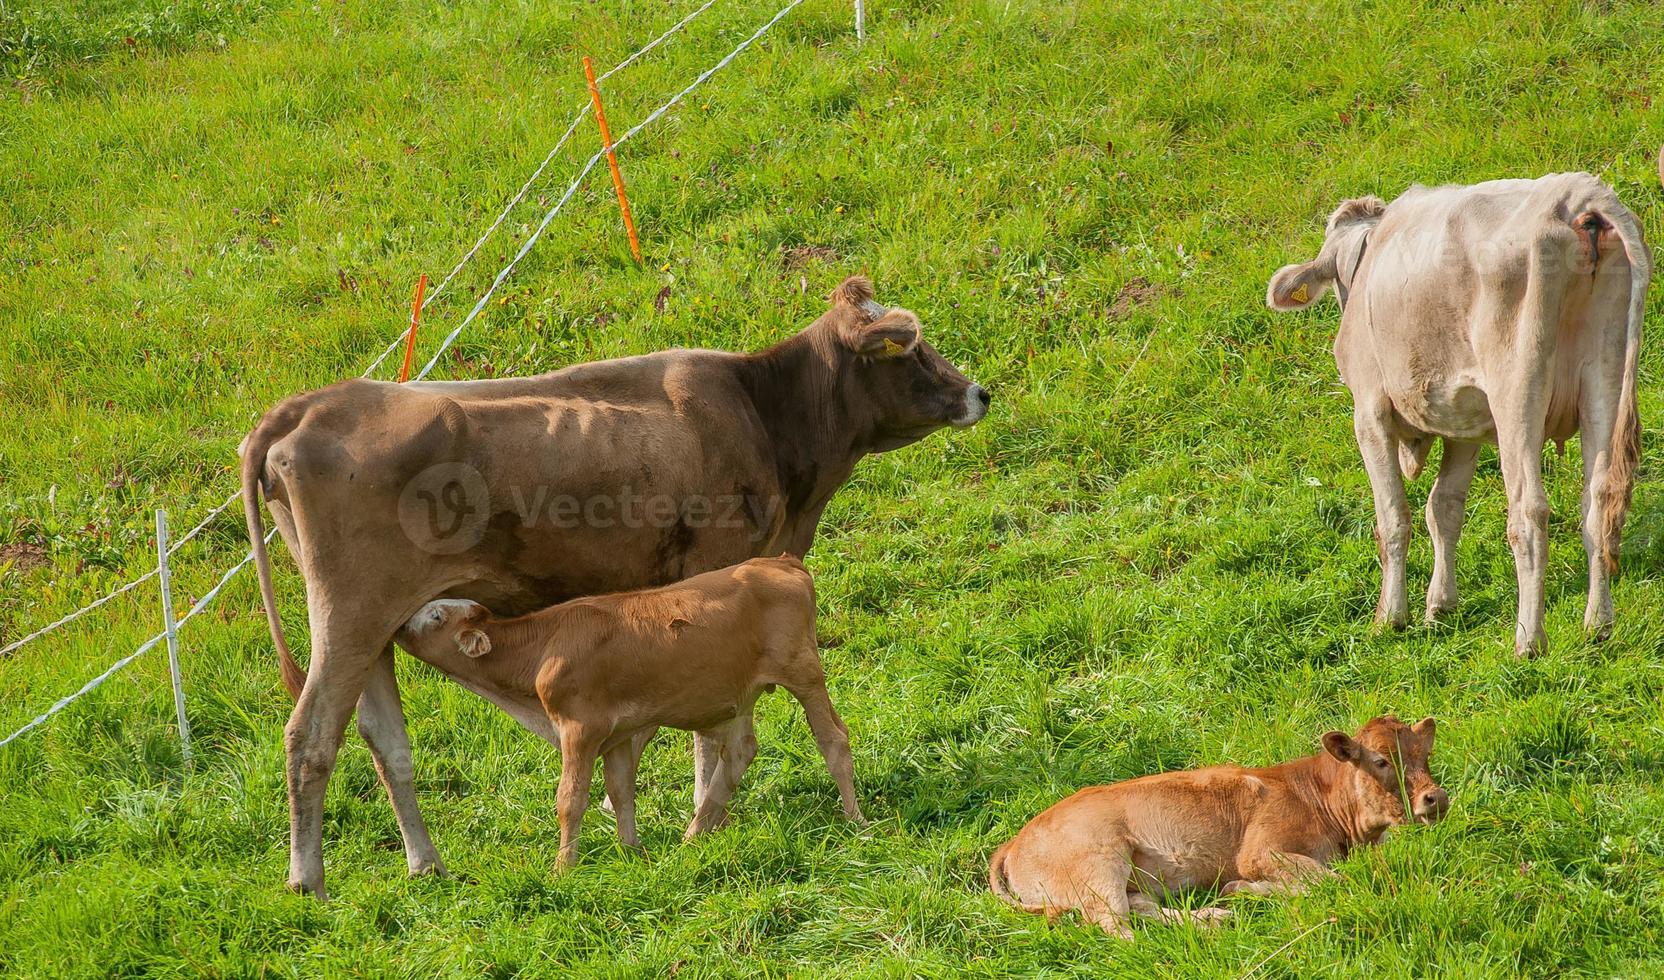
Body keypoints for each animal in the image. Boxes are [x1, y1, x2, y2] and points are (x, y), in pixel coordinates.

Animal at [396, 555, 865, 865]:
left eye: (435, 615)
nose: (399, 624)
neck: (543, 645)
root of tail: (780, 561)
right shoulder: (617, 734)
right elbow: (621, 790)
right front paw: (630, 849)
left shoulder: (580, 728)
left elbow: (570, 798)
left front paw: (563, 868)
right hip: (740, 693)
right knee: (739, 752)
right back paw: (693, 835)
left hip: (803, 671)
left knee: (833, 739)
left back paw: (854, 819)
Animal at [985, 715, 1444, 938]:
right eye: (1381, 760)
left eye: (1425, 754)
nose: (1435, 797)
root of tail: (1014, 841)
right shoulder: (1259, 852)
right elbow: (1331, 881)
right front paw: (1246, 889)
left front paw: (1239, 894)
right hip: (1098, 865)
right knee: (1114, 926)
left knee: (1141, 909)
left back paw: (1212, 918)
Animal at [1264, 172, 1644, 652]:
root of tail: (1578, 194)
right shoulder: (1465, 423)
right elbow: (1442, 508)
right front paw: (1439, 607)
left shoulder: (1368, 413)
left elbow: (1394, 517)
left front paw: (1391, 617)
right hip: (1603, 377)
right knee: (1598, 504)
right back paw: (1597, 626)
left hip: (1517, 387)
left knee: (1529, 510)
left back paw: (1528, 640)